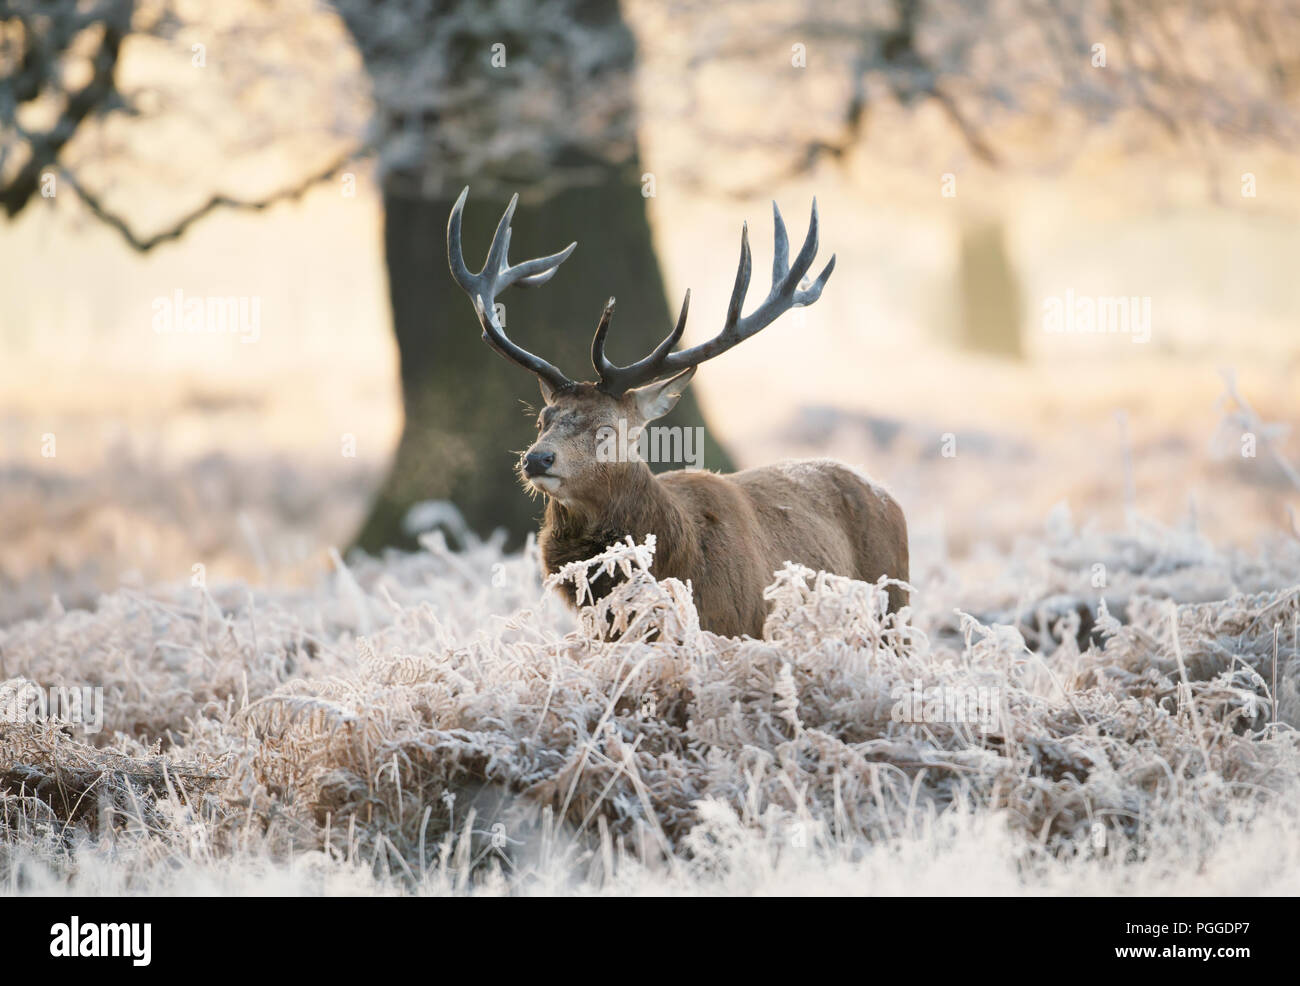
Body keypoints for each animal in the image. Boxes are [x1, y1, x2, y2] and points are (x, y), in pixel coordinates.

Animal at [447, 187, 909, 638]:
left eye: (607, 428)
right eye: (542, 419)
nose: (537, 458)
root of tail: (887, 495)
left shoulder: (738, 631)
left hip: (896, 610)